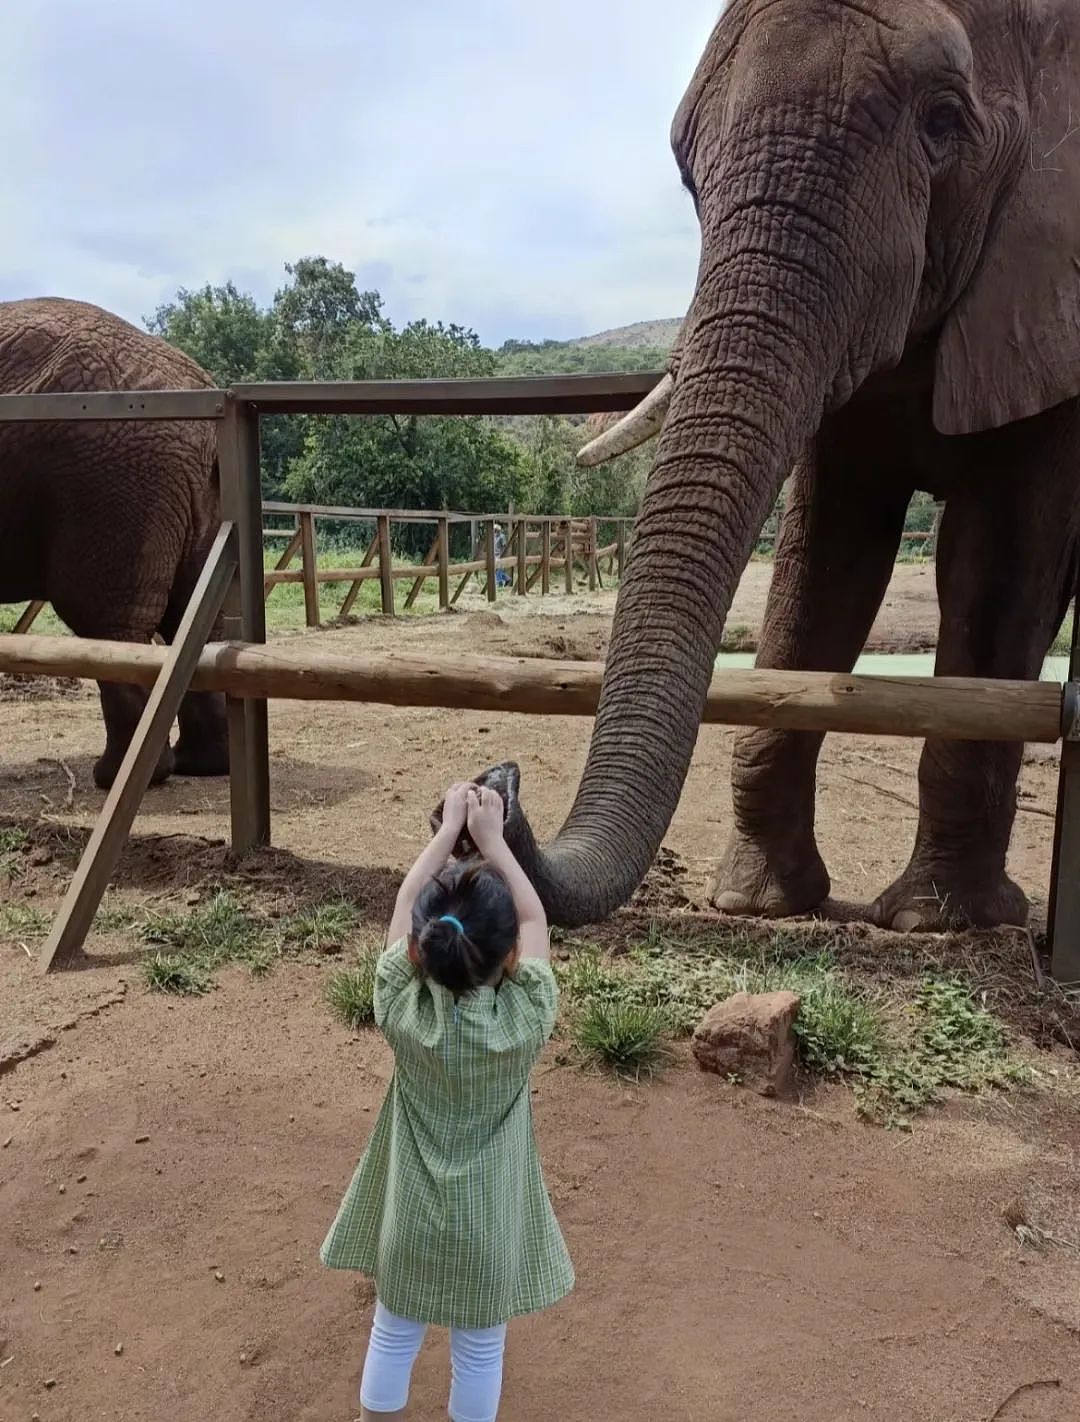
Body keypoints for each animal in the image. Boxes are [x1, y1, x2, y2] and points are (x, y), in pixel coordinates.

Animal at [435, 0, 1080, 938]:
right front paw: (759, 901)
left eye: (944, 123)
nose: (496, 787)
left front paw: (938, 919)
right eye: (685, 168)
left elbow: (998, 559)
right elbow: (827, 556)